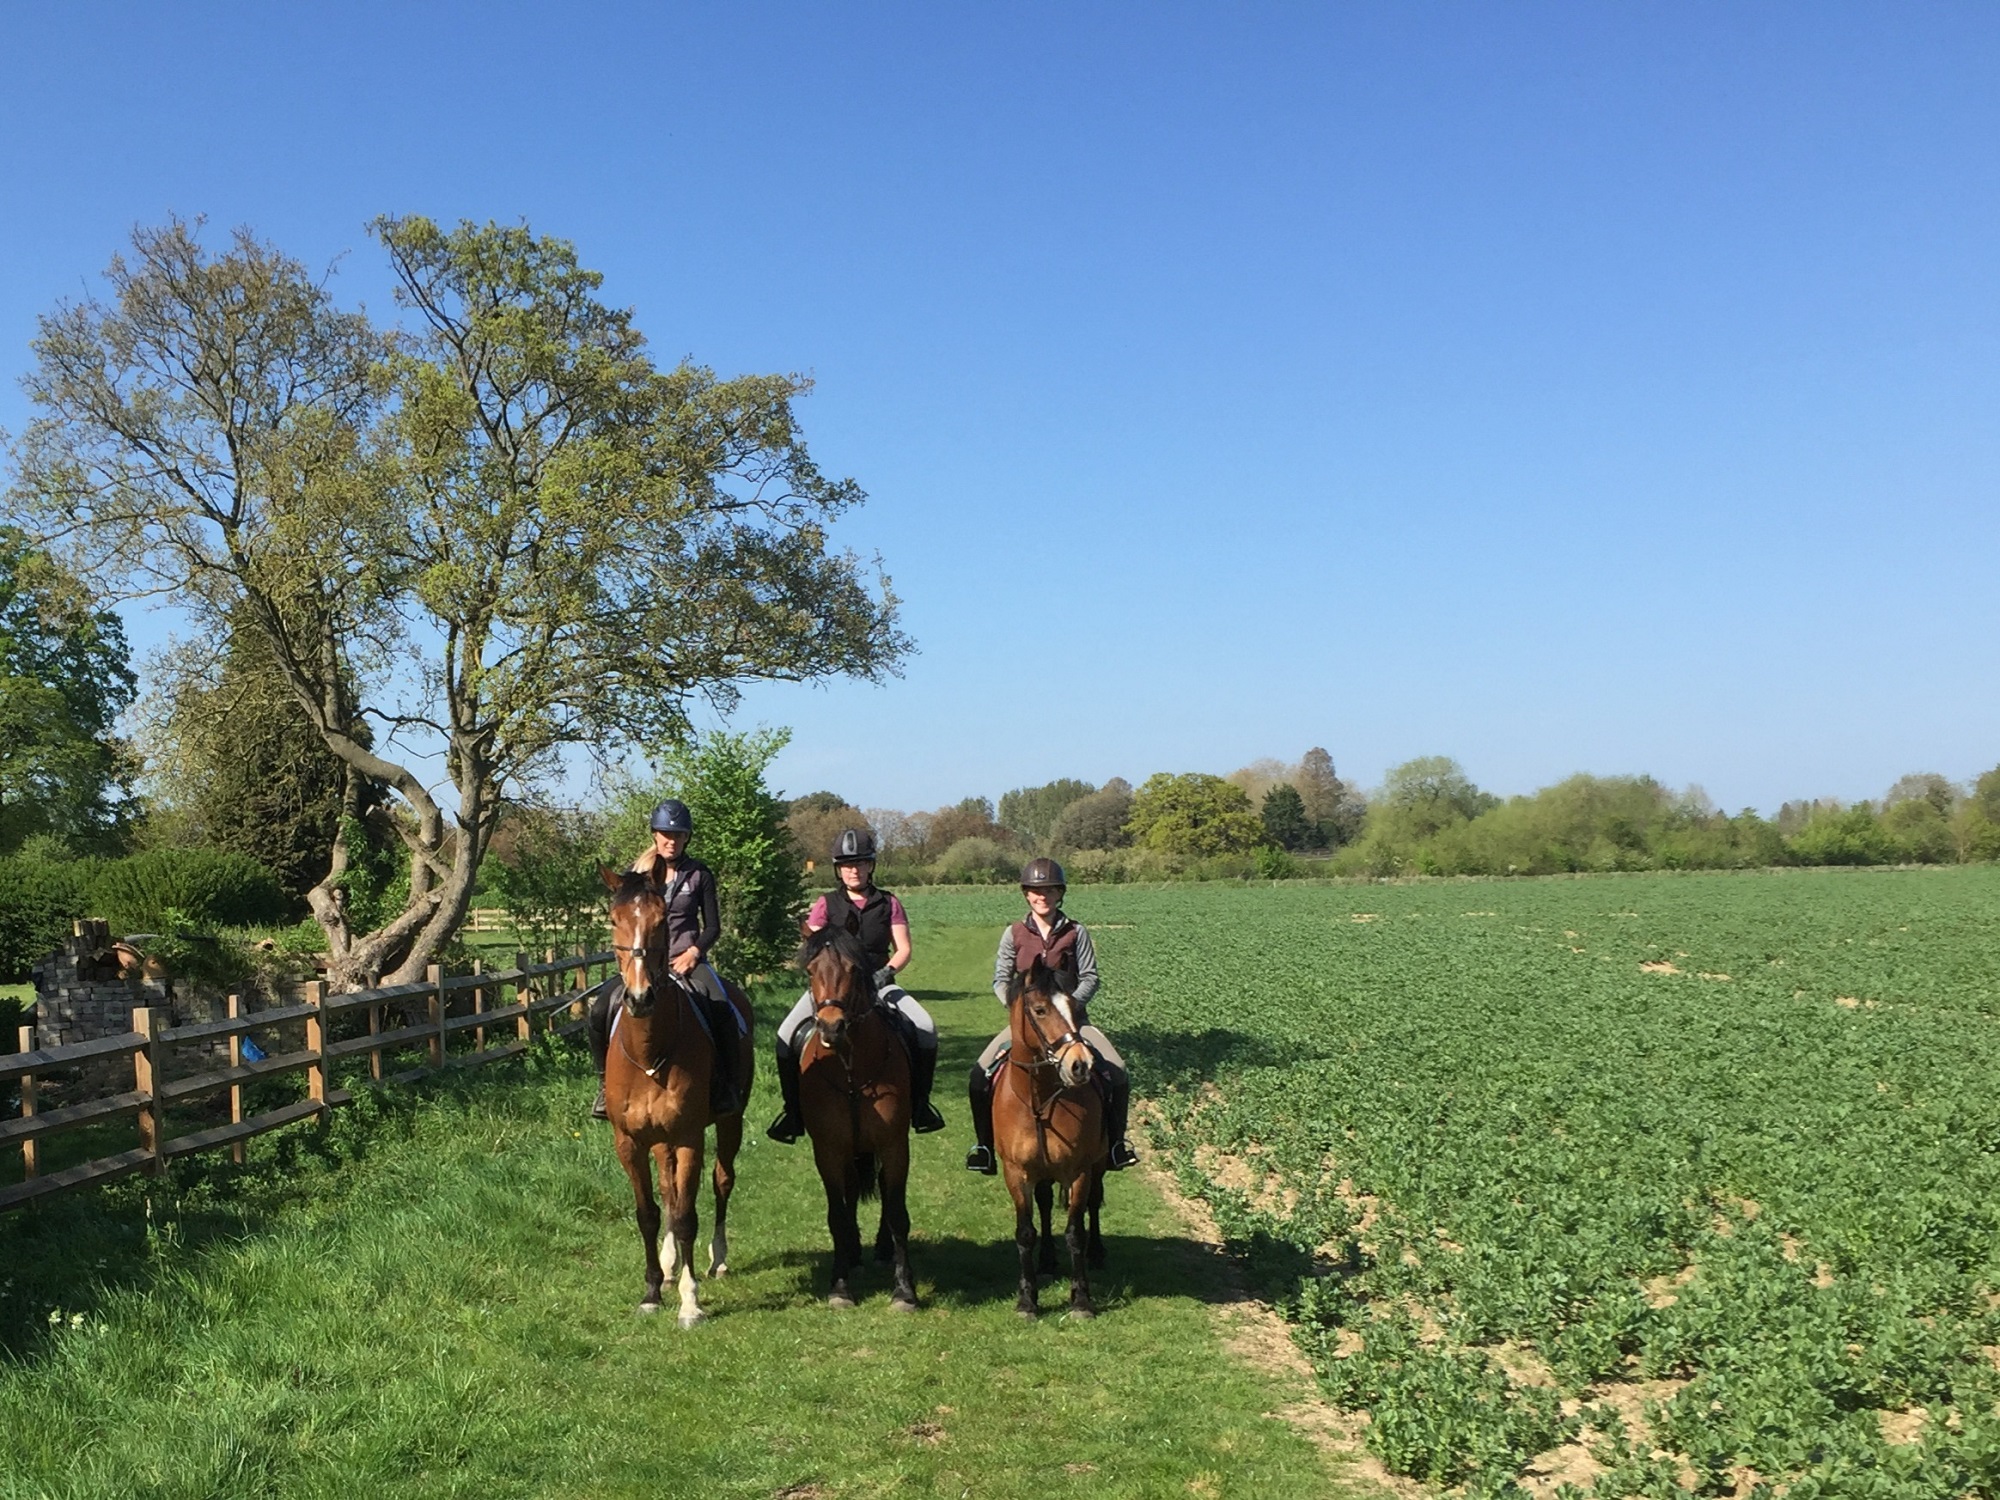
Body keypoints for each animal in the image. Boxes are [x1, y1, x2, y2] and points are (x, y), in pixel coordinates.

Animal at [596, 868, 752, 1328]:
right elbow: (649, 1213)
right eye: (613, 920)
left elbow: (685, 1217)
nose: (640, 997)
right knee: (668, 1193)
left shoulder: (687, 1139)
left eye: (662, 920)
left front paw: (690, 1301)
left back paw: (717, 1259)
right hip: (659, 1141)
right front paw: (651, 1290)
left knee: (721, 1181)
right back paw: (667, 1268)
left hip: (729, 1122)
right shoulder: (629, 1143)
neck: (650, 1054)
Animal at [796, 924, 920, 1312]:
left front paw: (905, 1291)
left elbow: (897, 1212)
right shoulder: (828, 1148)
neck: (851, 1067)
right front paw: (840, 1287)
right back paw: (851, 1252)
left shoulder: (894, 1144)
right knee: (850, 1190)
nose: (831, 1028)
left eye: (854, 969)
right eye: (810, 970)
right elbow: (836, 1214)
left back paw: (880, 1250)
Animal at [996, 956, 1112, 1320]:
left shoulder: (1079, 1171)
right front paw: (1027, 1301)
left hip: (1098, 1164)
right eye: (1040, 1010)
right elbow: (1025, 1232)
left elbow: (1075, 1231)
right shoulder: (1016, 1173)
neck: (1039, 1100)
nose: (1080, 1065)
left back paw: (1097, 1252)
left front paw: (1082, 1301)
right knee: (1045, 1204)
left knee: (1093, 1204)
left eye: (1074, 1006)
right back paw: (1046, 1260)